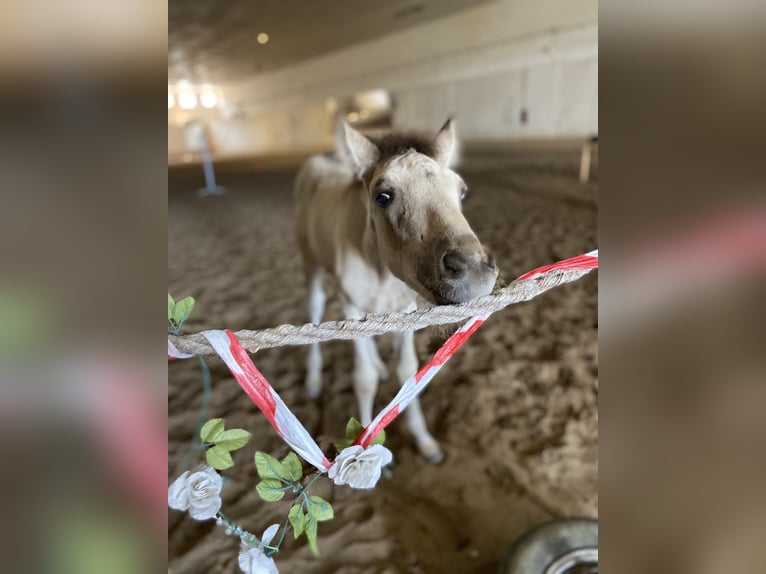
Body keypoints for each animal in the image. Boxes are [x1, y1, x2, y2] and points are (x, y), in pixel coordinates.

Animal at [294, 120, 498, 464]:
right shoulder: (352, 308)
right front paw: (360, 451)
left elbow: (407, 373)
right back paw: (313, 381)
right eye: (383, 196)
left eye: (462, 191)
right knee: (315, 310)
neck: (381, 272)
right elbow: (363, 380)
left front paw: (425, 441)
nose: (474, 271)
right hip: (312, 266)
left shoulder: (403, 314)